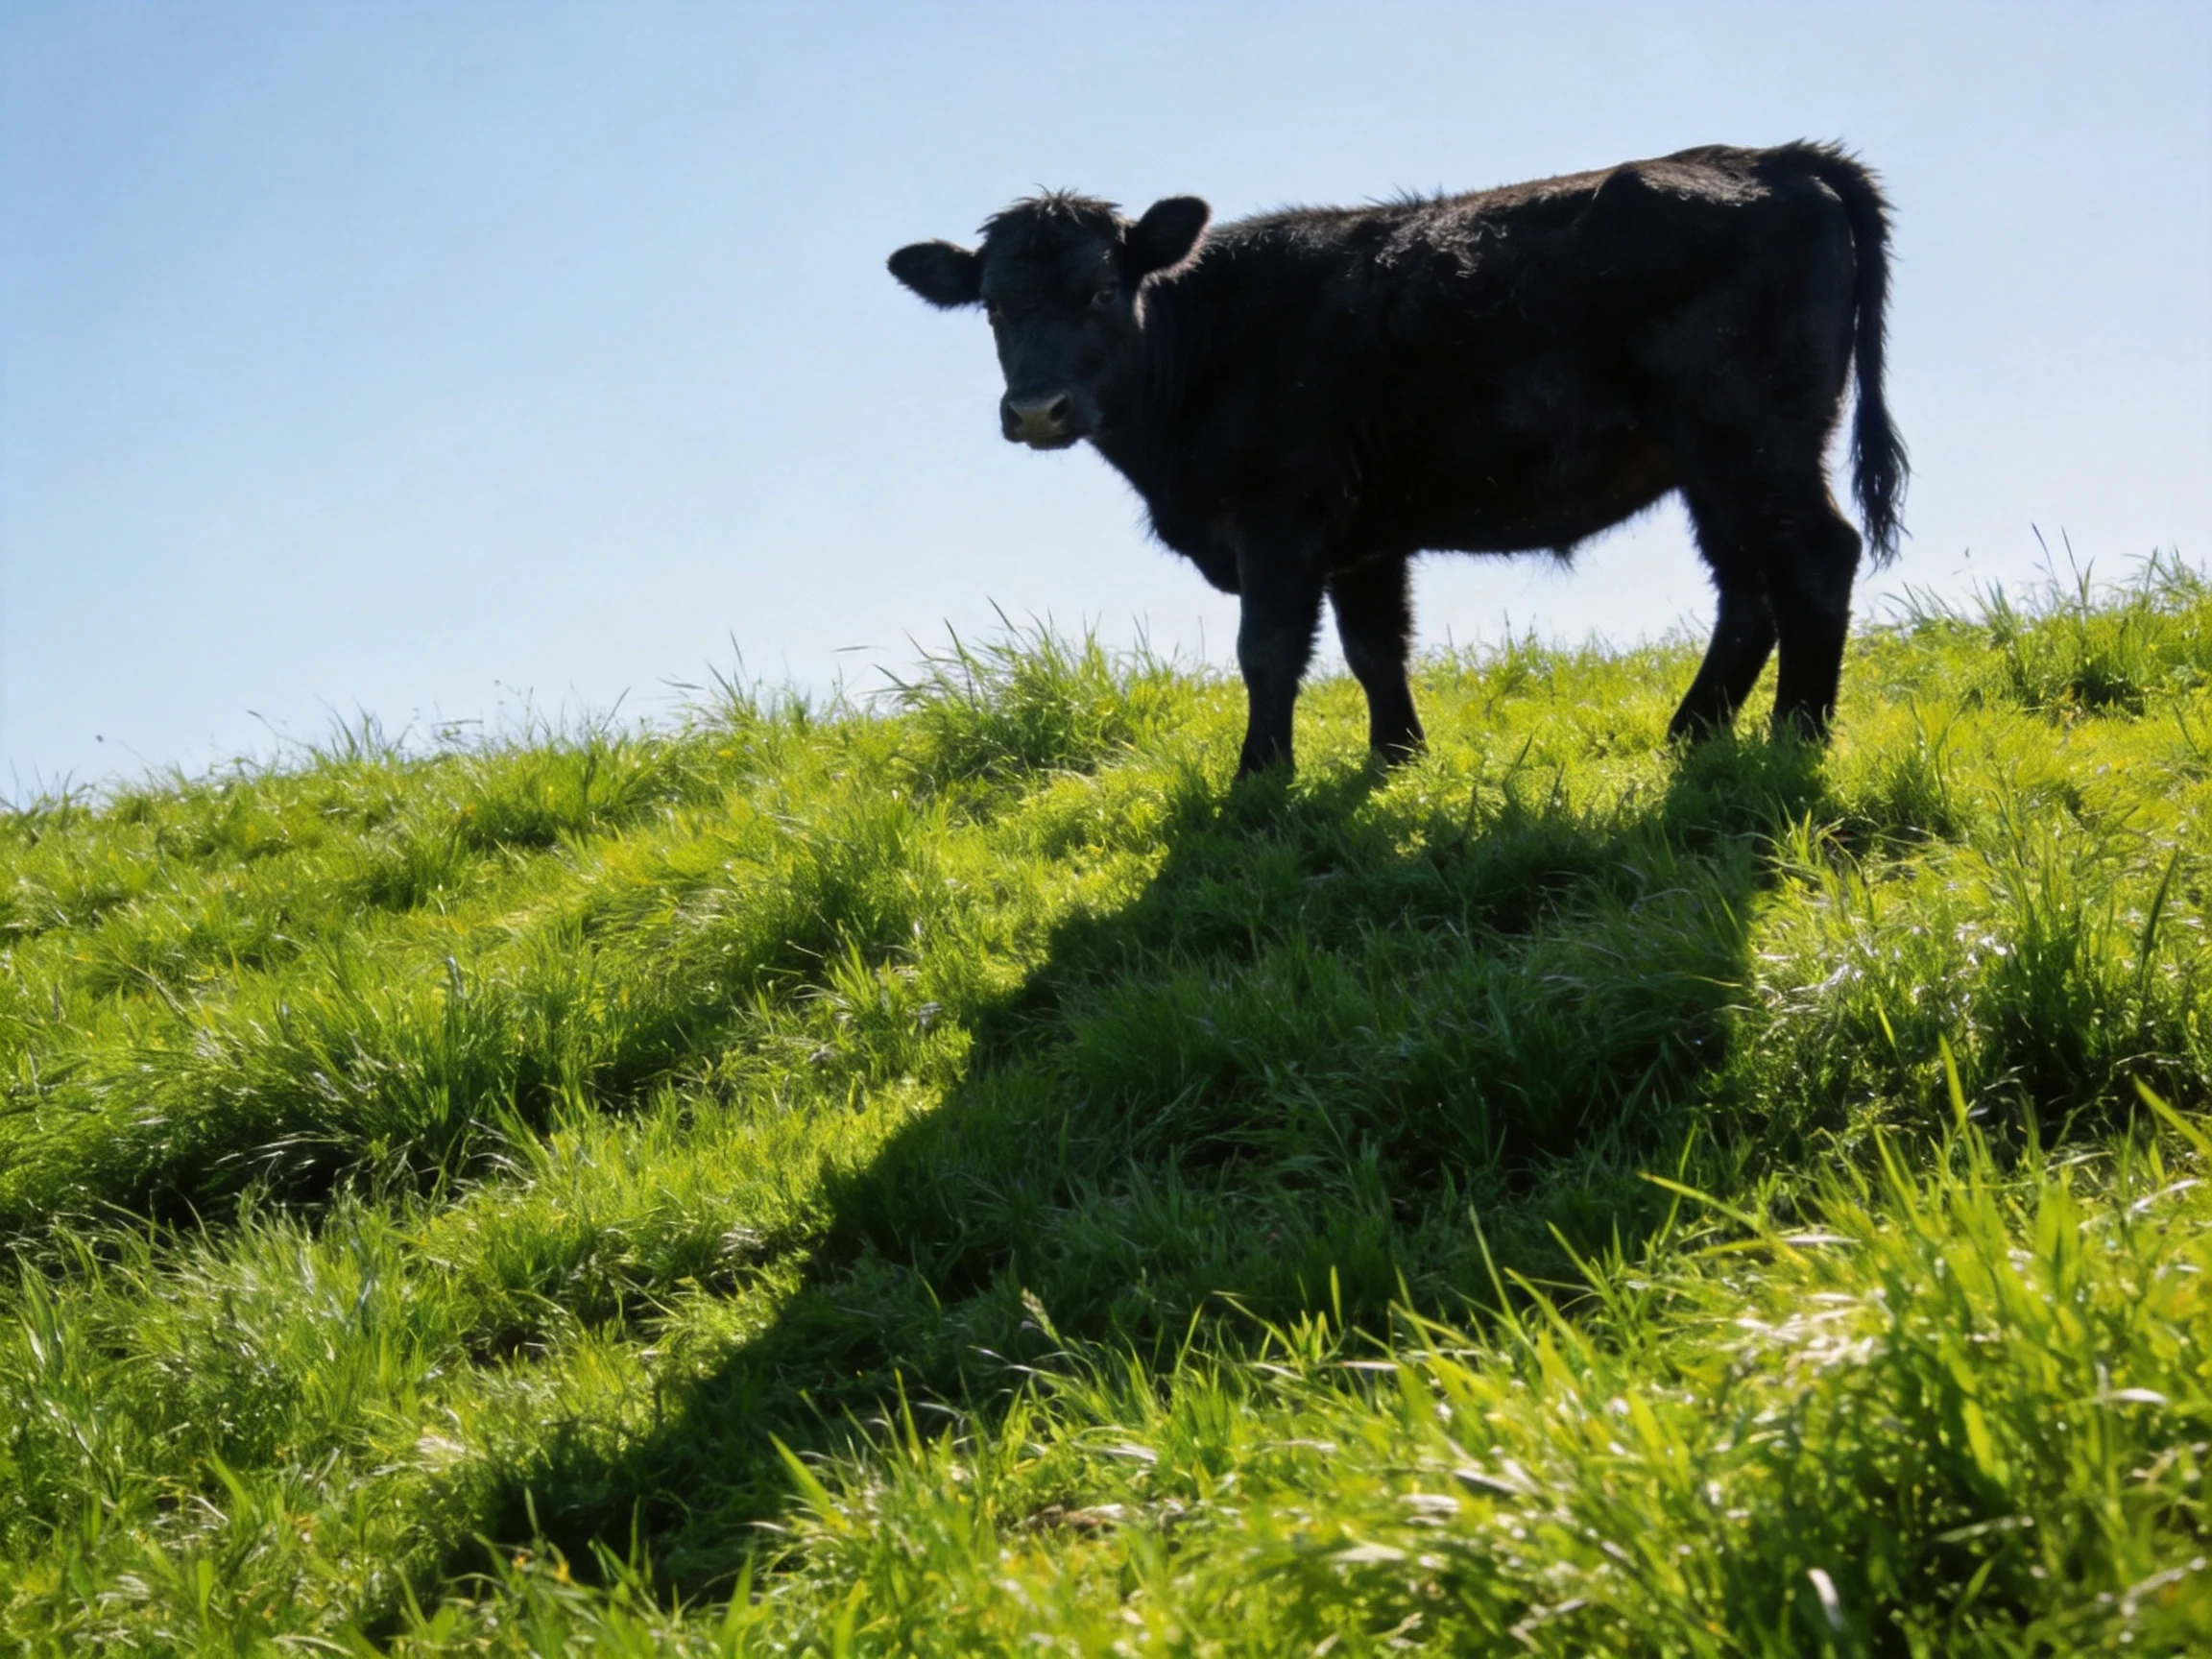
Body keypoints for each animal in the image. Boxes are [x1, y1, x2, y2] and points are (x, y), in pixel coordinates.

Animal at [888, 142, 1906, 778]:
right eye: (993, 306)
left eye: (1102, 289)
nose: (1037, 409)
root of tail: (1775, 157)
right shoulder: (1363, 539)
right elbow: (1376, 647)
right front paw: (1397, 759)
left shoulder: (1279, 517)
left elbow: (1267, 650)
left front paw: (1258, 781)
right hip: (1708, 460)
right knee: (1747, 585)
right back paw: (1693, 735)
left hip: (1753, 437)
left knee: (1811, 559)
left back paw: (1795, 738)